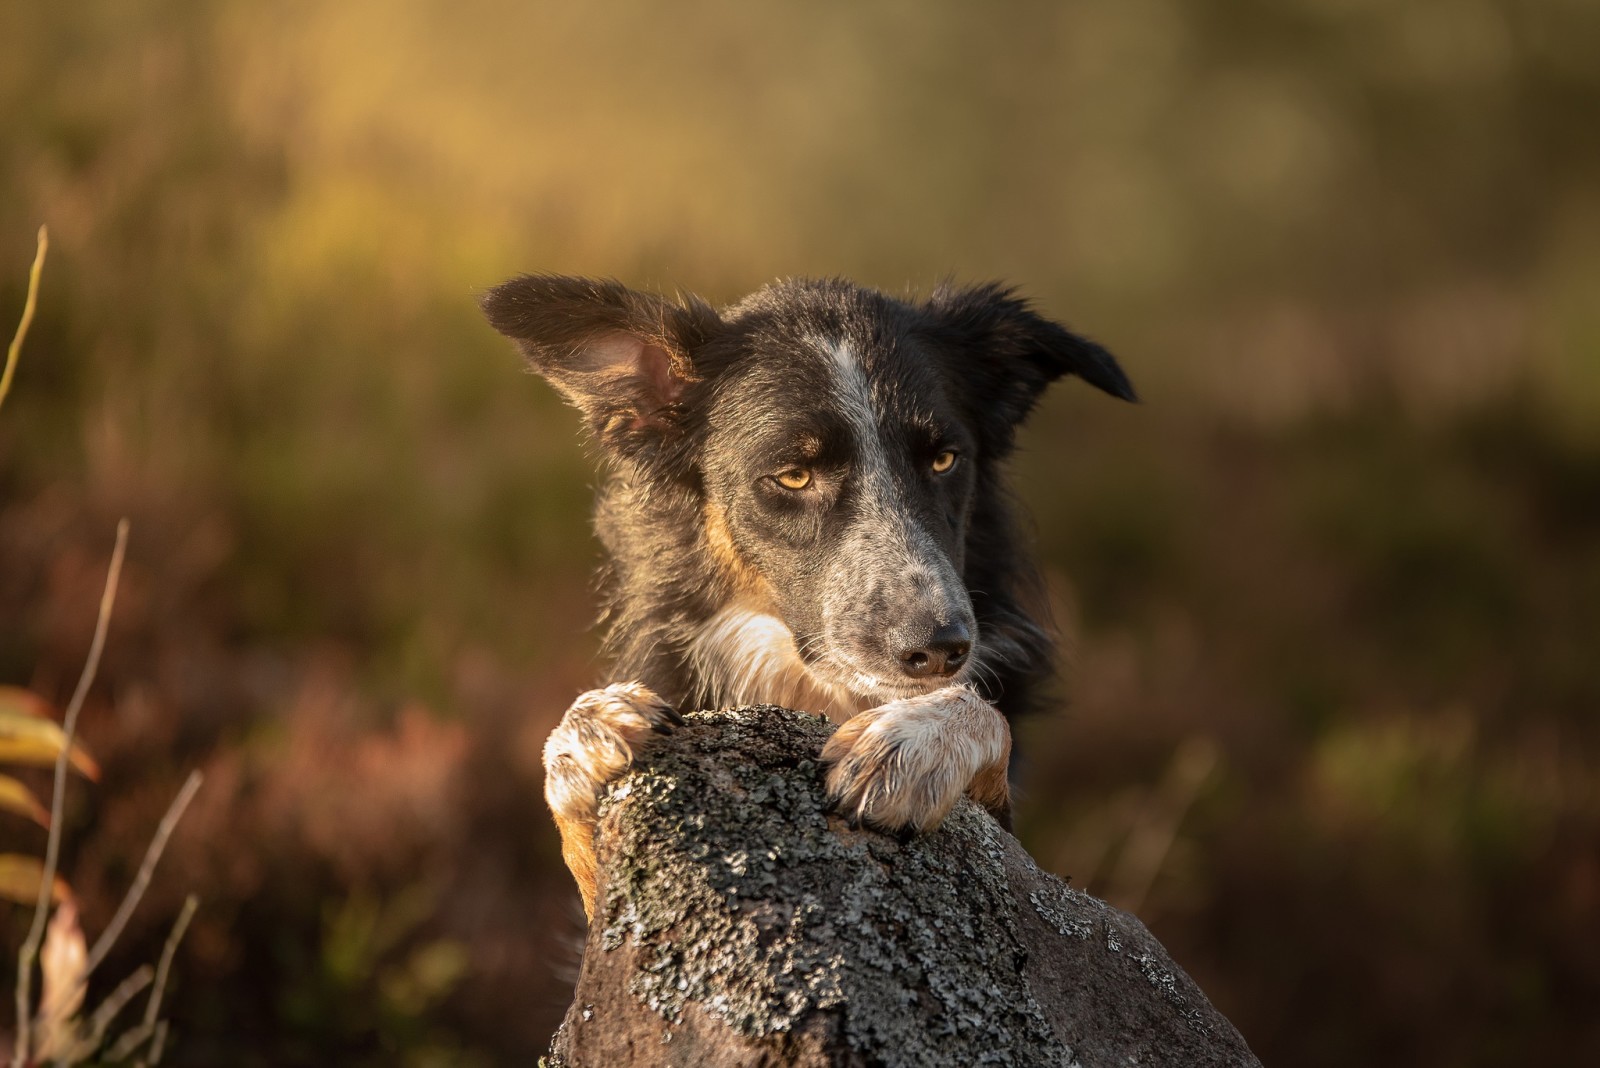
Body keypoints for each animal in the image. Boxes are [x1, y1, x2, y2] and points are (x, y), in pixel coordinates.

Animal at [480, 278, 1132, 920]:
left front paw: (918, 739)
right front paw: (584, 734)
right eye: (794, 476)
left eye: (945, 460)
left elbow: (985, 717)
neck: (820, 692)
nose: (941, 650)